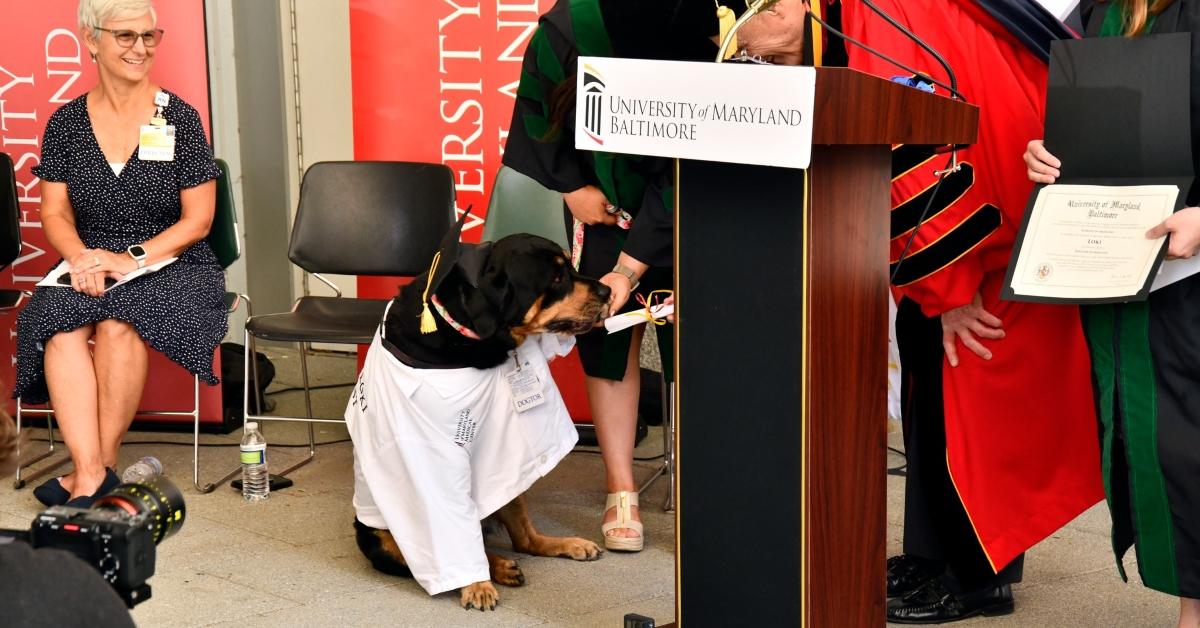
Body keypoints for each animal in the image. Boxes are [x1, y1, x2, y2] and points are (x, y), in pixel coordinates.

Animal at [350, 232, 609, 612]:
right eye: (557, 278)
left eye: (570, 267)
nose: (608, 290)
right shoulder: (429, 456)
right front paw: (476, 585)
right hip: (380, 537)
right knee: (443, 554)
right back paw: (494, 569)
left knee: (525, 540)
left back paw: (562, 545)